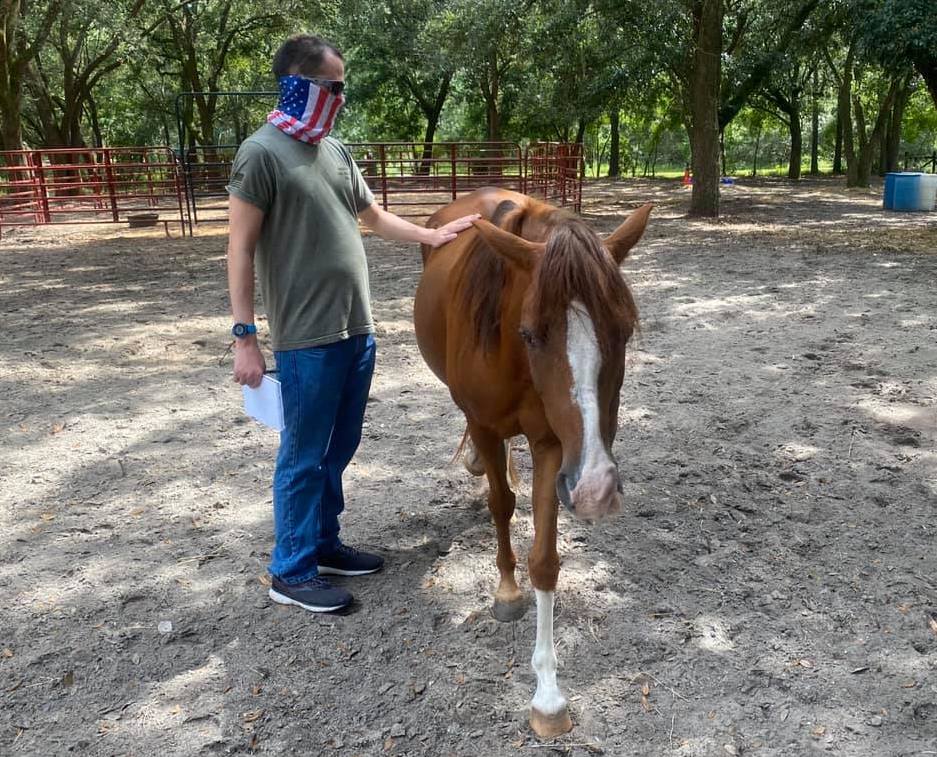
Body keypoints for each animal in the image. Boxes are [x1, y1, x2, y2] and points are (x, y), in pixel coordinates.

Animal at [414, 186, 652, 736]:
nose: (596, 488)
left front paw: (547, 694)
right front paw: (506, 591)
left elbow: (544, 559)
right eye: (531, 334)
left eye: (625, 331)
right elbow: (501, 506)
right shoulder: (485, 424)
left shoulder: (553, 446)